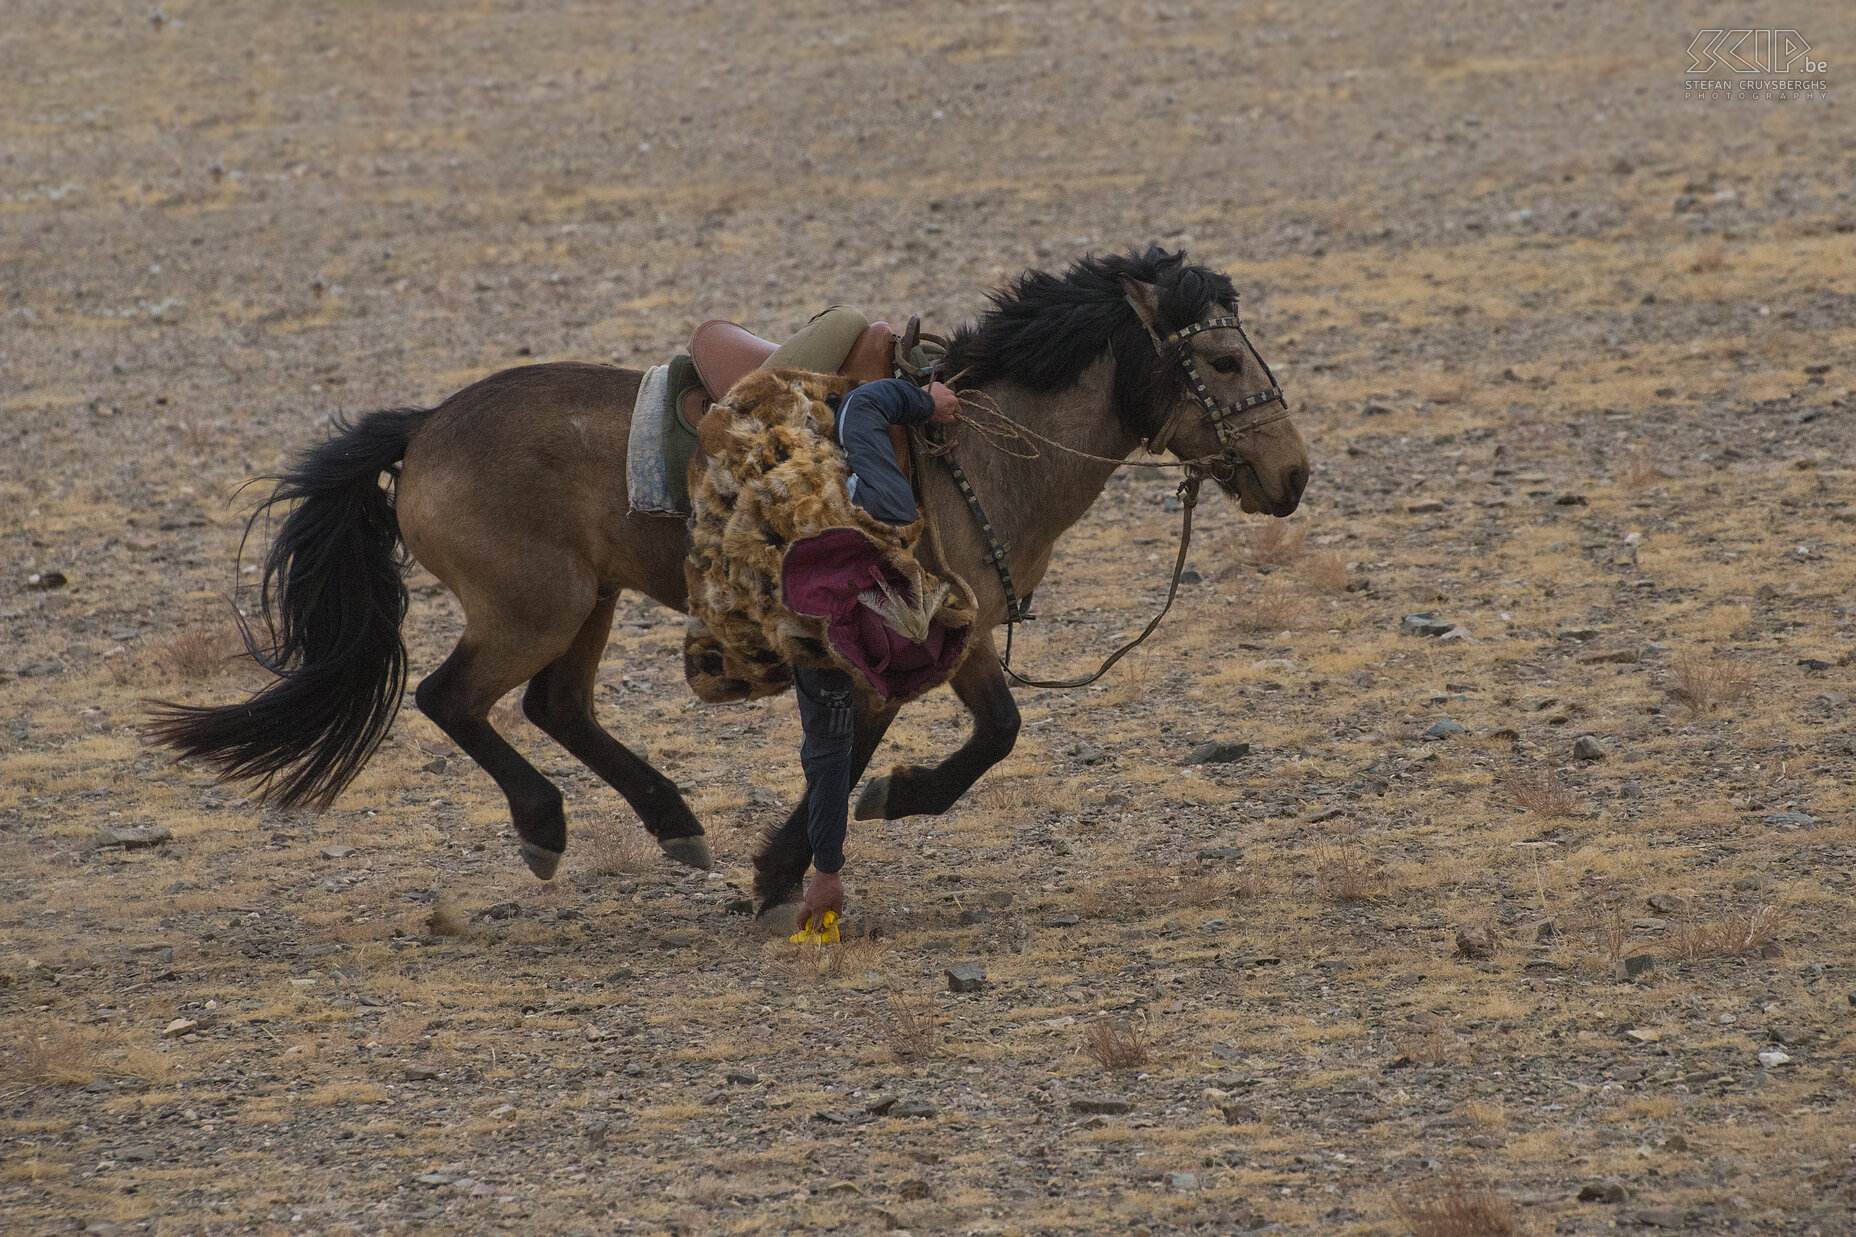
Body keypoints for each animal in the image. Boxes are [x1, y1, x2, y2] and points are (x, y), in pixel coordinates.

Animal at [152, 245, 1314, 924]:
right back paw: (546, 827)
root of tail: (425, 427)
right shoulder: (880, 652)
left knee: (555, 705)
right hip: (533, 609)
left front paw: (884, 806)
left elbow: (994, 736)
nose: (1292, 475)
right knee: (457, 699)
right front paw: (782, 870)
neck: (967, 452)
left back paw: (672, 822)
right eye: (1218, 361)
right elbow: (860, 760)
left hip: (590, 603)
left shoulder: (965, 635)